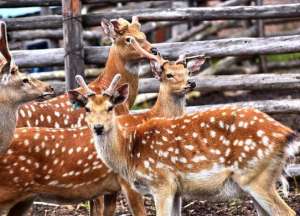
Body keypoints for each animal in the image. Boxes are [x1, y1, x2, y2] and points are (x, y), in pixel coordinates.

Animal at [0, 52, 205, 216]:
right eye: (169, 74)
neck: (147, 117)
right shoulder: (127, 182)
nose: (191, 83)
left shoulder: (111, 187)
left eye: (189, 72)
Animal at [72, 74, 298, 216]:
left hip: (256, 177)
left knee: (288, 212)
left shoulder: (161, 182)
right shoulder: (177, 190)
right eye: (87, 109)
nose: (98, 127)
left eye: (110, 107)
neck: (129, 154)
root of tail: (287, 135)